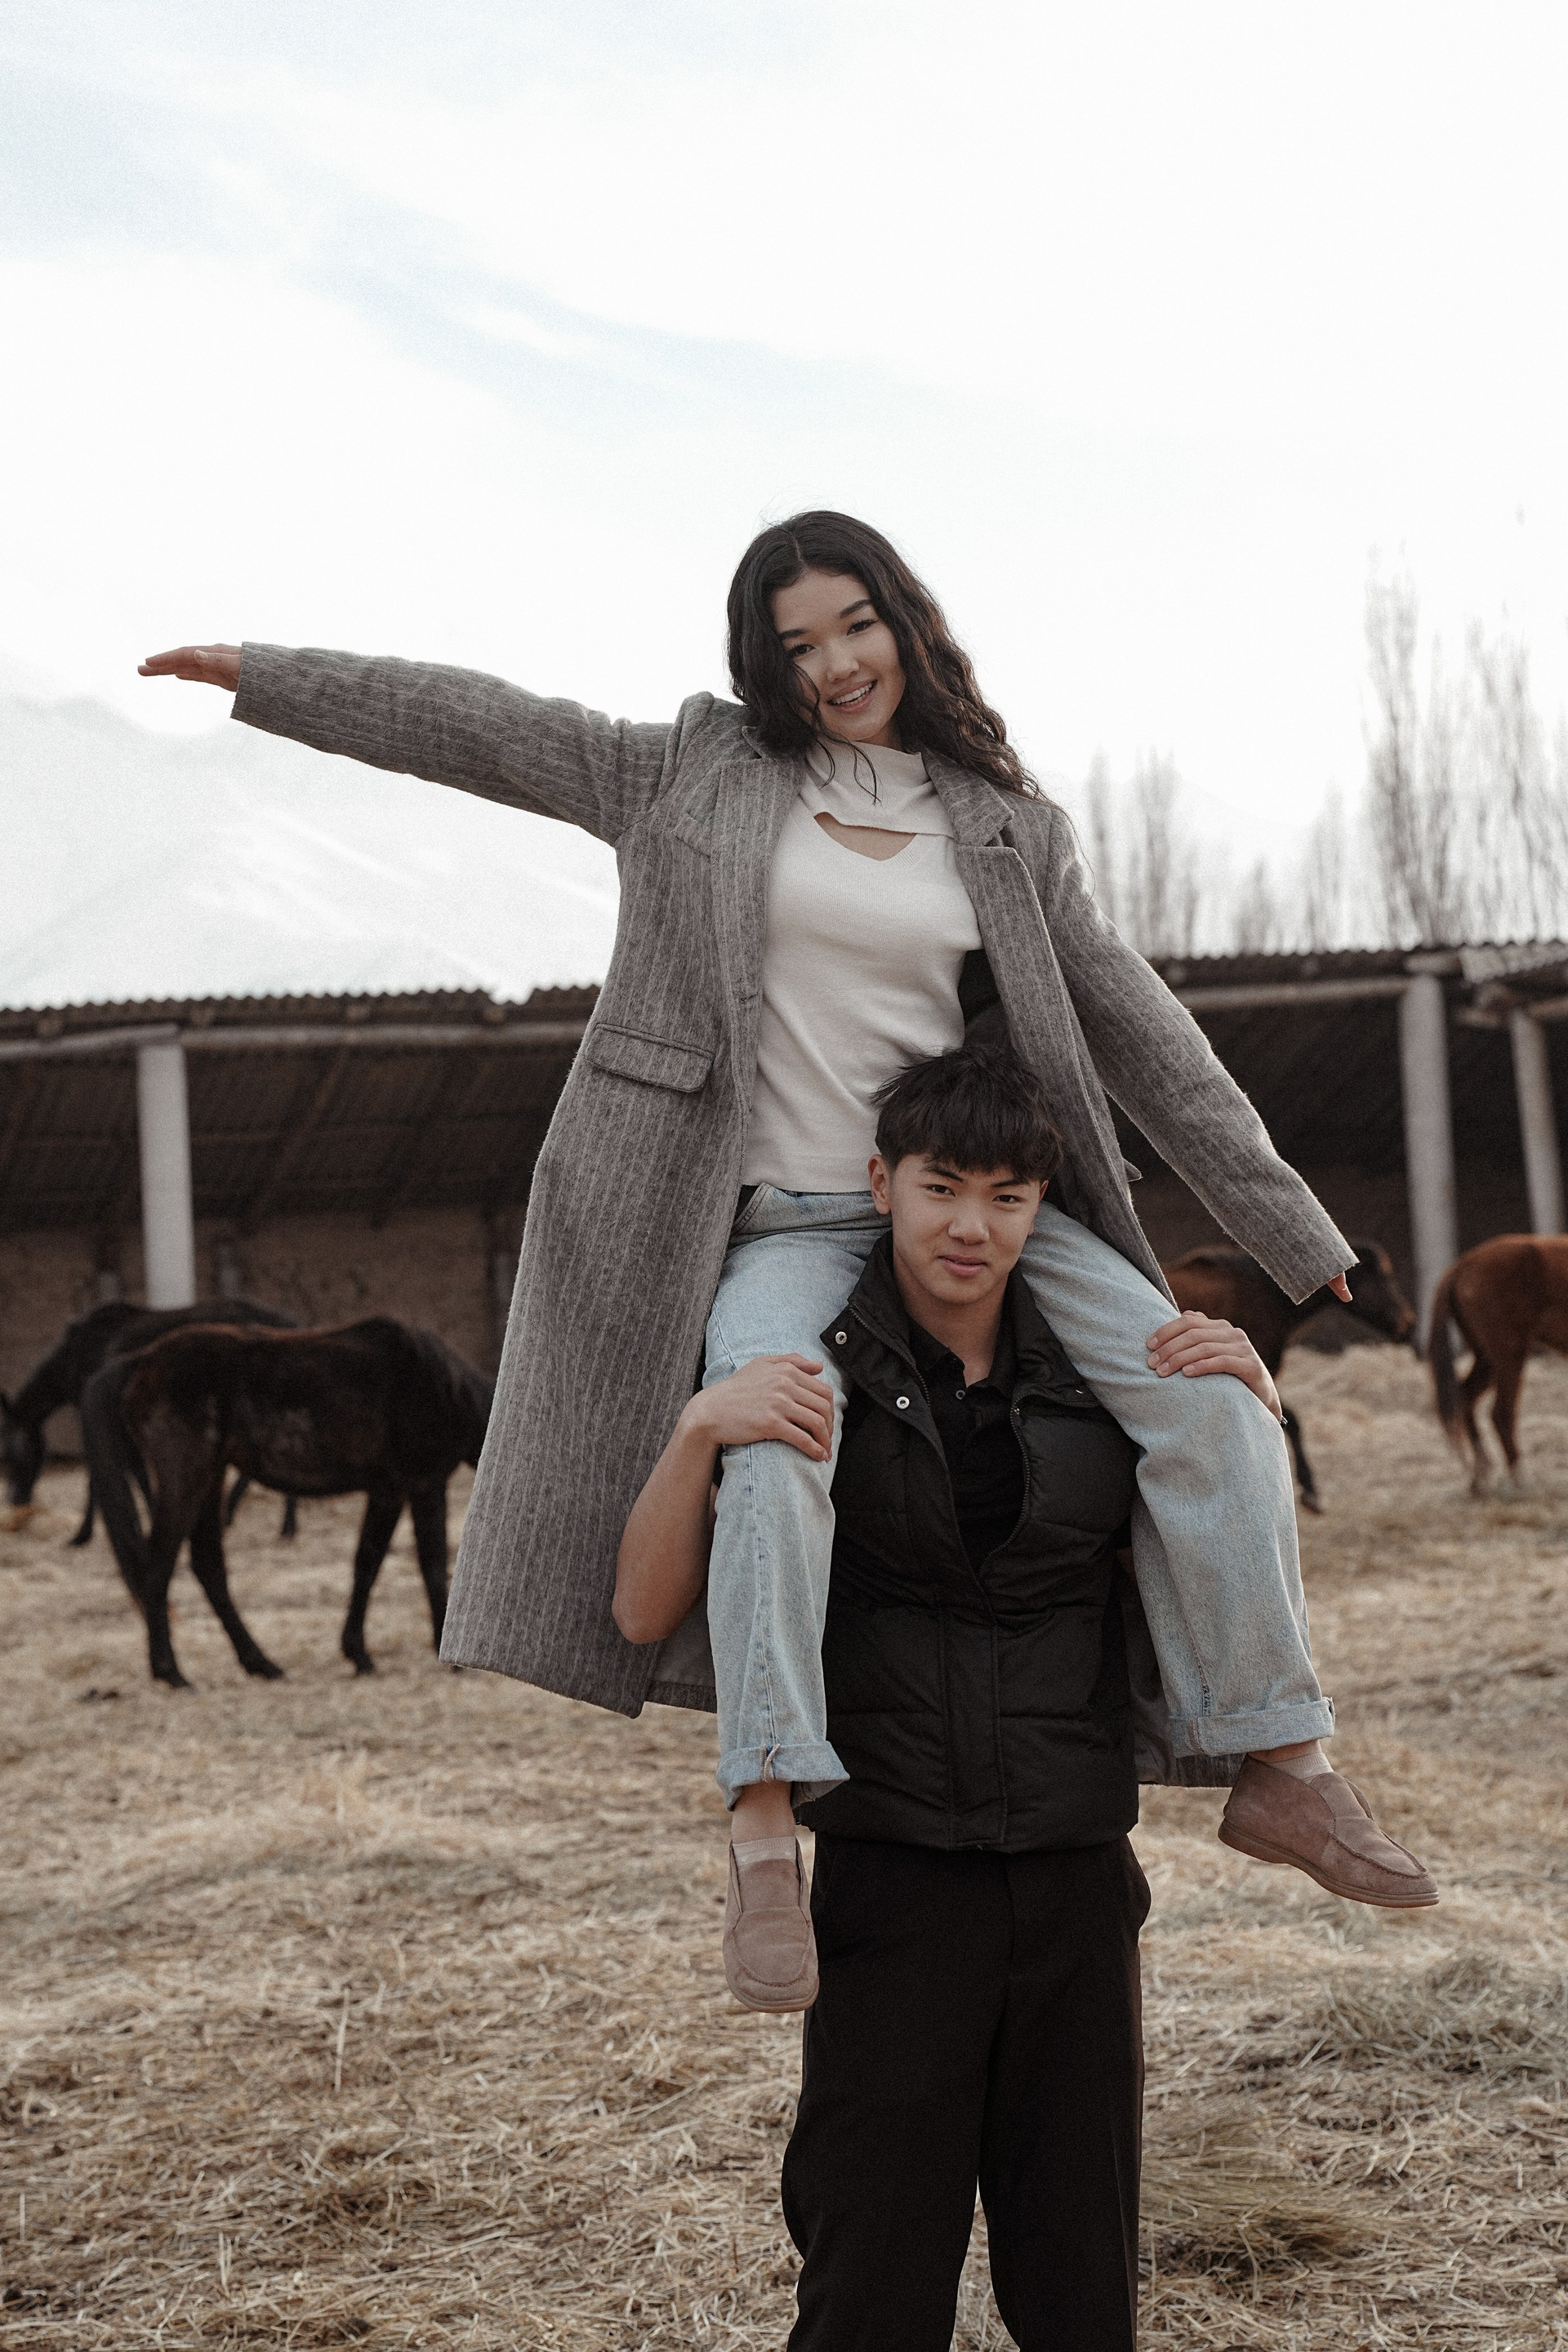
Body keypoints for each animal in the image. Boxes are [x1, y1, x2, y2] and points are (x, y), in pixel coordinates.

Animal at [2, 1298, 301, 1543]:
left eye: (7, 1455)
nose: (16, 1499)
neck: (69, 1370)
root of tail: (291, 1323)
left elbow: (121, 1473)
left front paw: (83, 1534)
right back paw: (266, 1521)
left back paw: (273, 1523)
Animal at [81, 1315, 493, 1688]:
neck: (443, 1387)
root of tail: (142, 1359)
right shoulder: (409, 1487)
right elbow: (406, 1565)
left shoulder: (404, 1489)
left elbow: (384, 1564)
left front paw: (364, 1653)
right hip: (185, 1477)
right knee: (159, 1565)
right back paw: (171, 1672)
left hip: (211, 1476)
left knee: (207, 1565)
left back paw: (261, 1664)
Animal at [1428, 1234, 1568, 1493]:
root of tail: (1462, 1265)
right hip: (1509, 1355)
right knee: (1501, 1413)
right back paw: (1522, 1481)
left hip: (1489, 1359)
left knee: (1465, 1397)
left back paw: (1480, 1477)